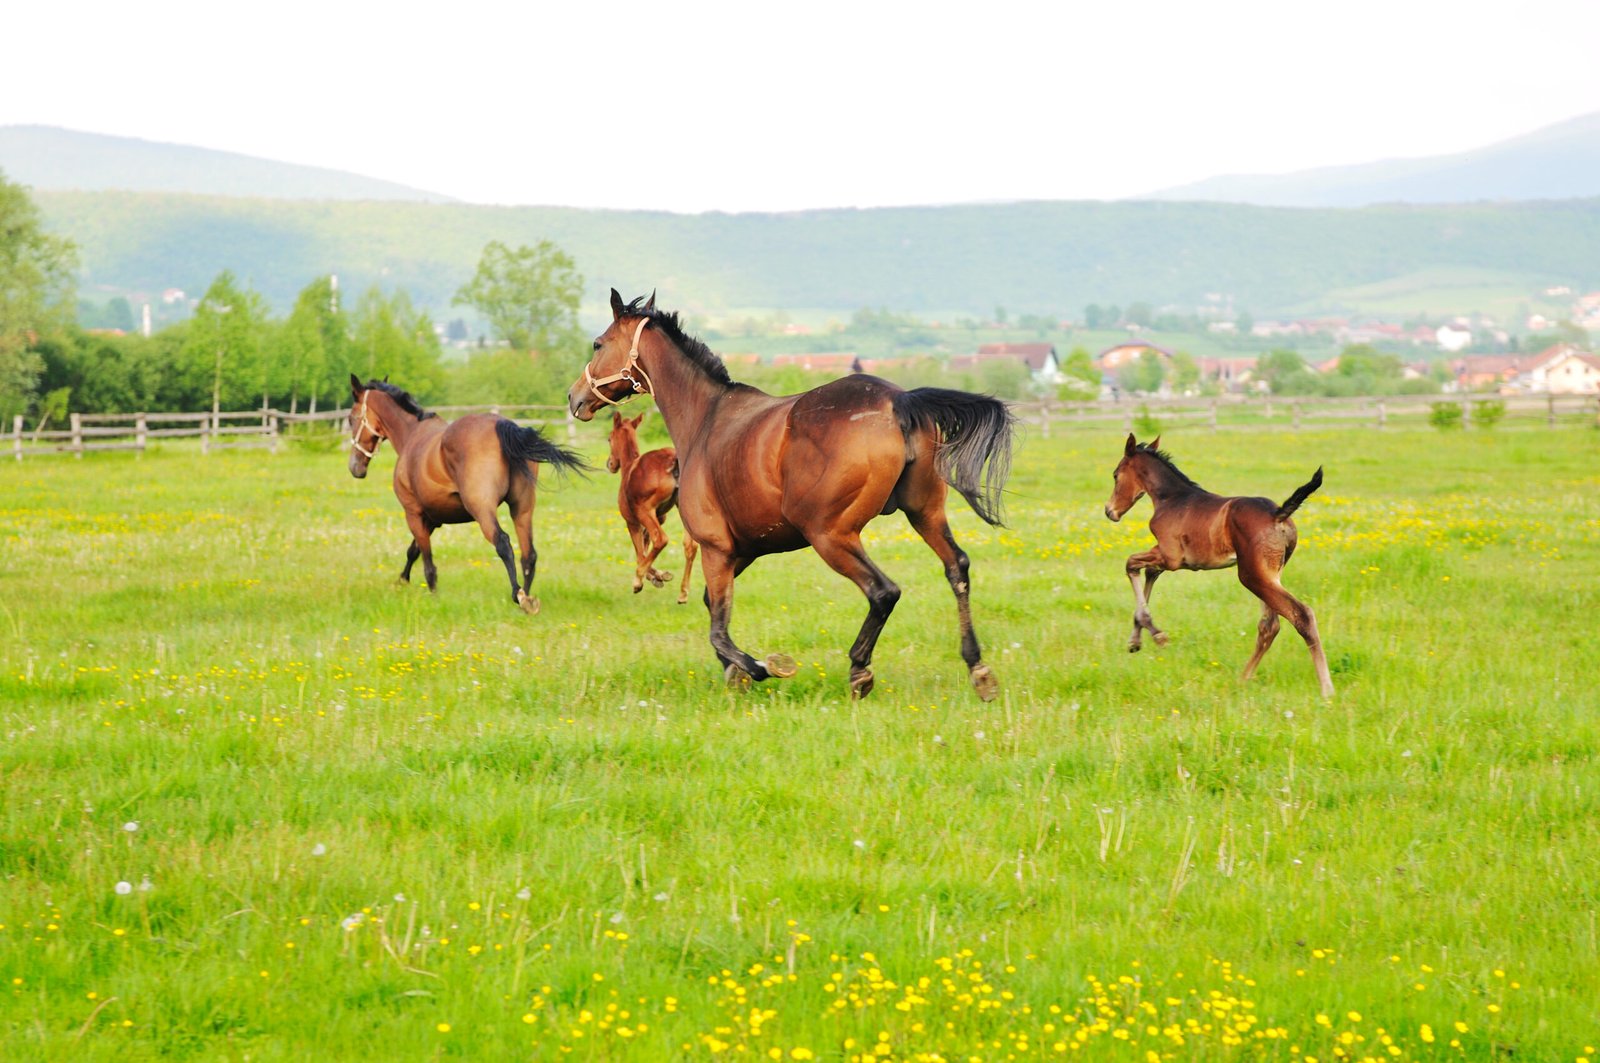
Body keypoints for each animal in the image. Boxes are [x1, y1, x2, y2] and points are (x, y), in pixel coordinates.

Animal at [345, 375, 586, 614]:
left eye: (351, 418)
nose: (355, 467)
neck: (411, 434)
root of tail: (504, 425)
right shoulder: (433, 519)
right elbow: (413, 551)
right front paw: (402, 581)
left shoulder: (413, 514)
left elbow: (426, 561)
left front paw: (432, 596)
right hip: (522, 508)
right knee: (529, 555)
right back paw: (527, 599)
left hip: (482, 509)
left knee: (503, 543)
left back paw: (518, 596)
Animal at [606, 410, 698, 603]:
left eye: (609, 438)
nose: (610, 464)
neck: (629, 467)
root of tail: (673, 461)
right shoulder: (659, 518)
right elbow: (645, 548)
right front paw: (659, 575)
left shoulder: (632, 521)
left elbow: (640, 553)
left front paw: (652, 577)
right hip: (682, 508)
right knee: (690, 545)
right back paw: (683, 593)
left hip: (644, 511)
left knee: (661, 539)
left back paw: (637, 580)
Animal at [1104, 433, 1334, 697]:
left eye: (1116, 475)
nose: (1109, 511)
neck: (1171, 499)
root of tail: (1278, 514)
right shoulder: (1165, 558)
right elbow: (1148, 573)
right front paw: (1135, 640)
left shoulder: (1170, 557)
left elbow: (1131, 564)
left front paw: (1156, 635)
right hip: (1271, 575)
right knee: (1269, 626)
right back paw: (1243, 679)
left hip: (1252, 576)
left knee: (1301, 615)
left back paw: (1327, 688)